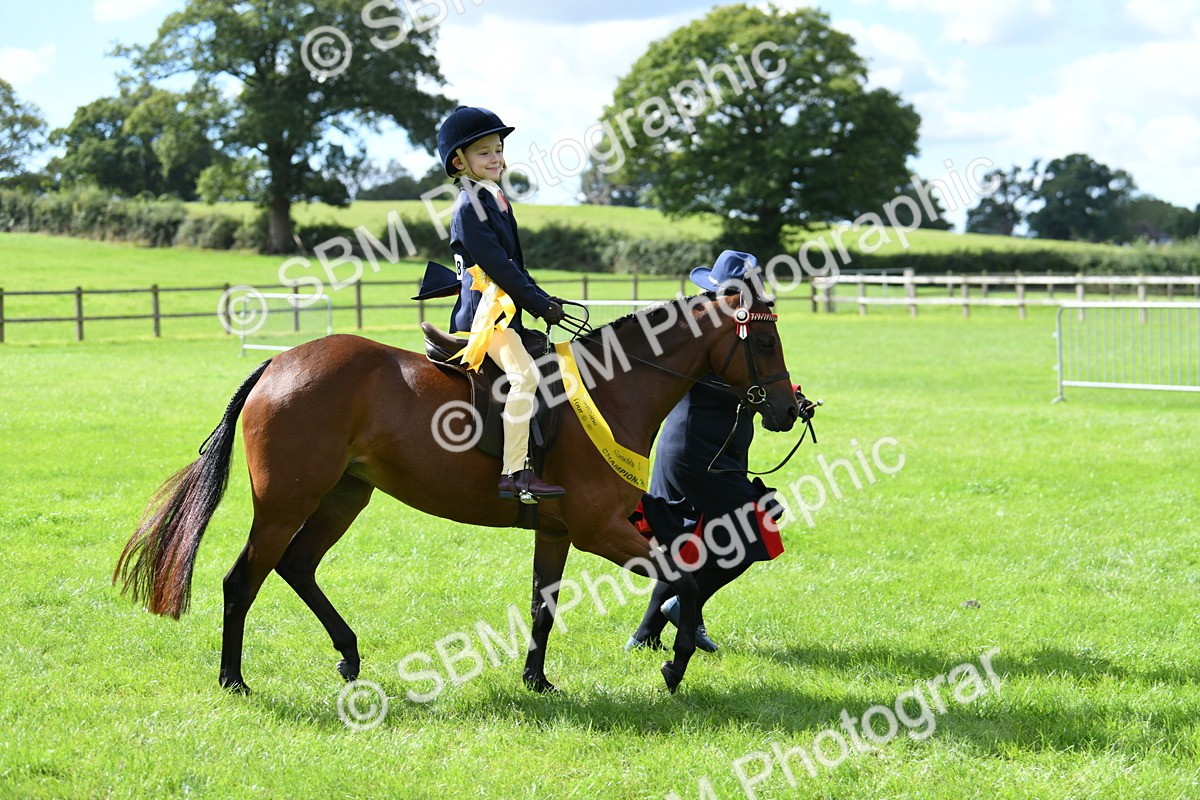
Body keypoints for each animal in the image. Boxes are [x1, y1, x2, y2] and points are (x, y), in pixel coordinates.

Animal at [113, 284, 800, 696]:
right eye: (765, 341)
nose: (789, 409)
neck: (614, 387)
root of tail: (279, 362)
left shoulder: (556, 531)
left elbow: (542, 607)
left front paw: (537, 681)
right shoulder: (599, 529)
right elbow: (686, 578)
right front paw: (674, 666)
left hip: (343, 497)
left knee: (297, 566)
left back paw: (349, 656)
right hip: (287, 503)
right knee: (243, 580)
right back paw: (234, 679)